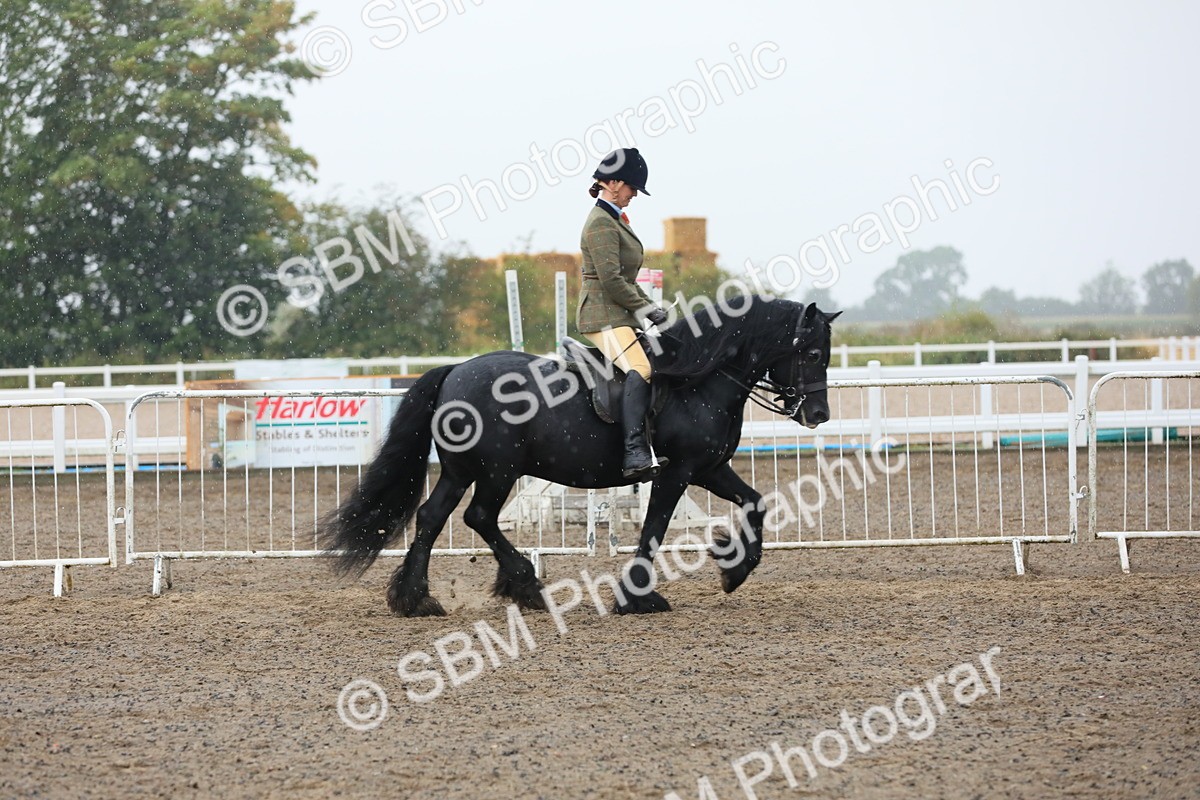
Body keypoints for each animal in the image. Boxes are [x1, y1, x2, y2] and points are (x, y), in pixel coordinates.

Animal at [321, 297, 839, 615]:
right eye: (813, 353)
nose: (818, 414)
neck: (701, 379)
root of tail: (454, 372)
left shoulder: (710, 468)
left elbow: (756, 503)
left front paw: (734, 570)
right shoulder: (677, 473)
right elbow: (653, 529)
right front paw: (637, 598)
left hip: (462, 470)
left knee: (432, 517)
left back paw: (416, 600)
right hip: (497, 471)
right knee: (478, 517)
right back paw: (526, 586)